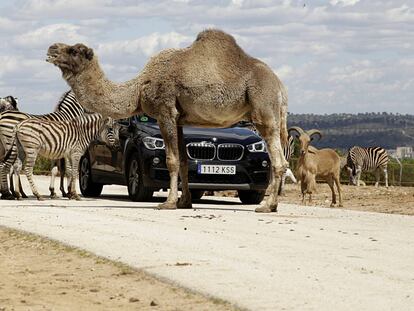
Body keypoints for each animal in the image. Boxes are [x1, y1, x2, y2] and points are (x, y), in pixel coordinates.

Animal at [46, 29, 288, 213]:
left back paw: (267, 206)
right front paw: (184, 202)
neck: (139, 88)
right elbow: (183, 161)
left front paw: (168, 203)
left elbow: (171, 160)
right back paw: (272, 205)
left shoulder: (165, 111)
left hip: (263, 108)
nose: (51, 49)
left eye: (73, 50)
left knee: (279, 161)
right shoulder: (180, 119)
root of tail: (280, 85)